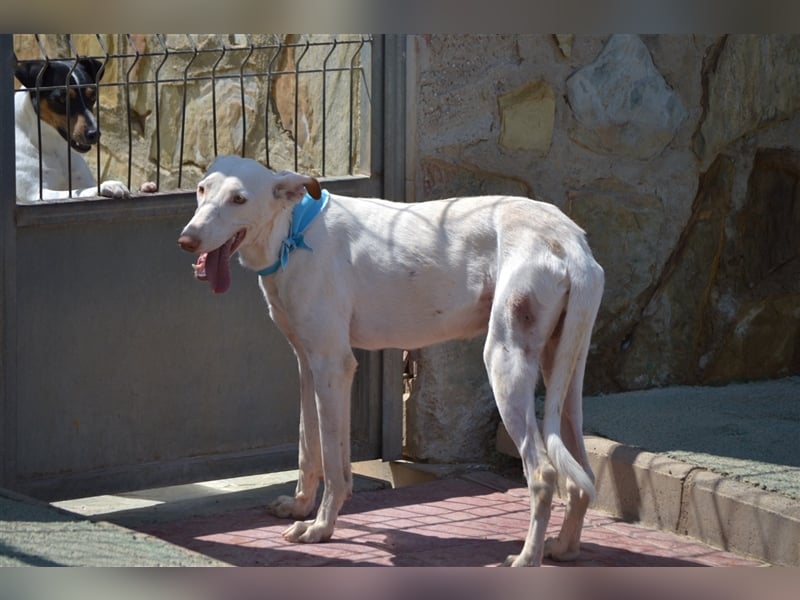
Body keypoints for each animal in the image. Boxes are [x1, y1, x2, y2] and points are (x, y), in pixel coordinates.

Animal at [180, 156, 608, 568]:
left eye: (239, 199)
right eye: (201, 189)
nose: (187, 240)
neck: (292, 232)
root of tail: (568, 239)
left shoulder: (334, 365)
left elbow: (333, 463)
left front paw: (320, 528)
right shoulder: (308, 364)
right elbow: (309, 448)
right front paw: (299, 507)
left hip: (505, 360)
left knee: (543, 472)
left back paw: (527, 558)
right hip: (564, 369)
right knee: (581, 475)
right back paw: (564, 548)